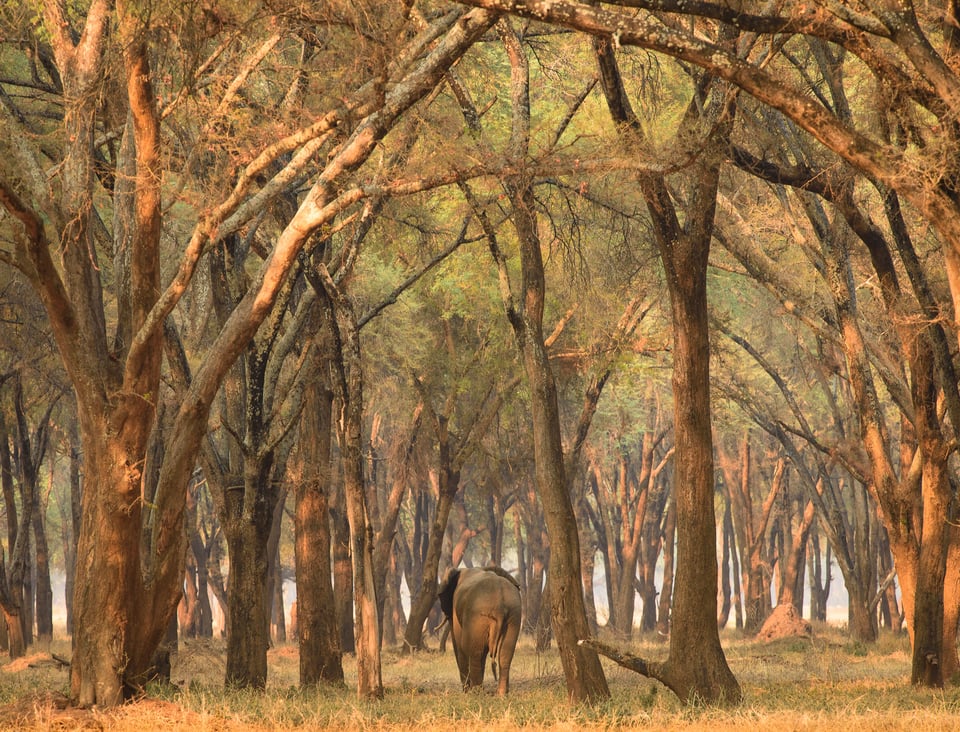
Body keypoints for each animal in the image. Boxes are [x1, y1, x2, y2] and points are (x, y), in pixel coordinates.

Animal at [438, 568, 520, 696]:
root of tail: (500, 605)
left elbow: (460, 645)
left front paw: (466, 691)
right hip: (513, 616)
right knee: (505, 653)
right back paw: (501, 694)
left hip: (477, 616)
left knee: (472, 650)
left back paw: (476, 693)